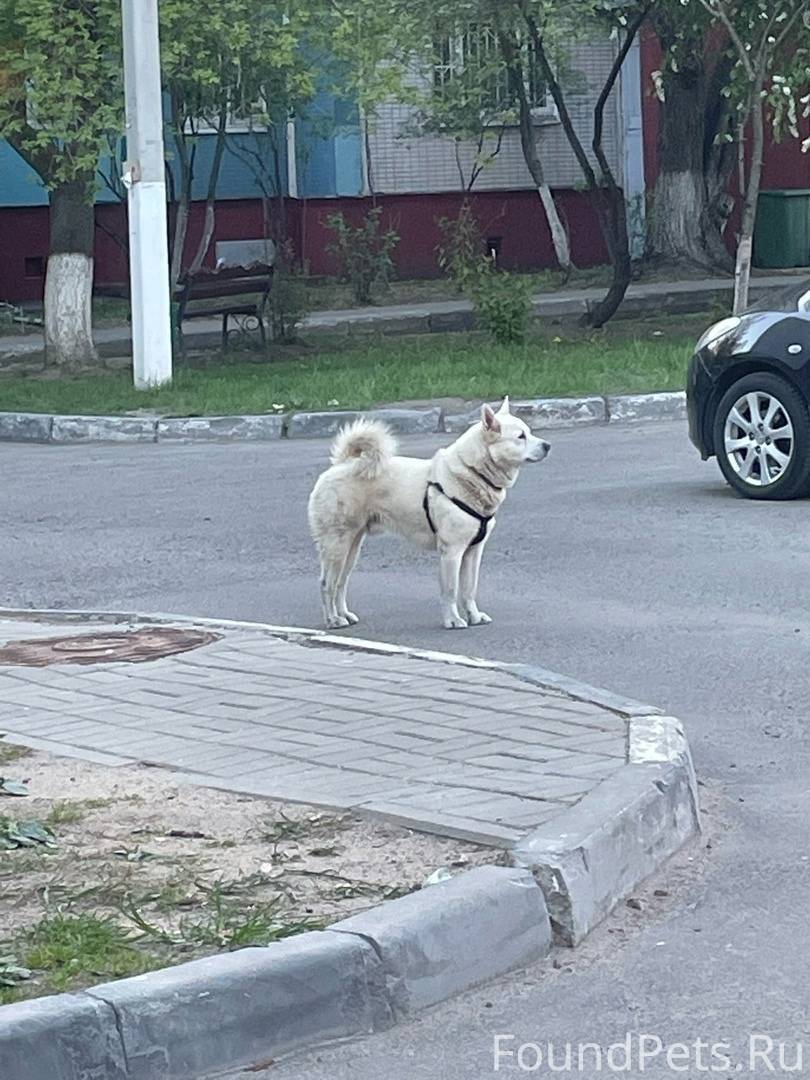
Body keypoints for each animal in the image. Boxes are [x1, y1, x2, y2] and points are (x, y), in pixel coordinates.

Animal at [308, 399, 552, 630]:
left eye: (529, 432)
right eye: (520, 436)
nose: (548, 446)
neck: (471, 472)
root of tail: (343, 463)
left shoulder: (473, 552)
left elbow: (469, 589)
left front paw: (474, 616)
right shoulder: (452, 551)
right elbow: (451, 590)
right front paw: (453, 620)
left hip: (353, 545)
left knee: (341, 582)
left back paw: (344, 615)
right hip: (337, 545)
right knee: (326, 583)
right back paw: (333, 619)